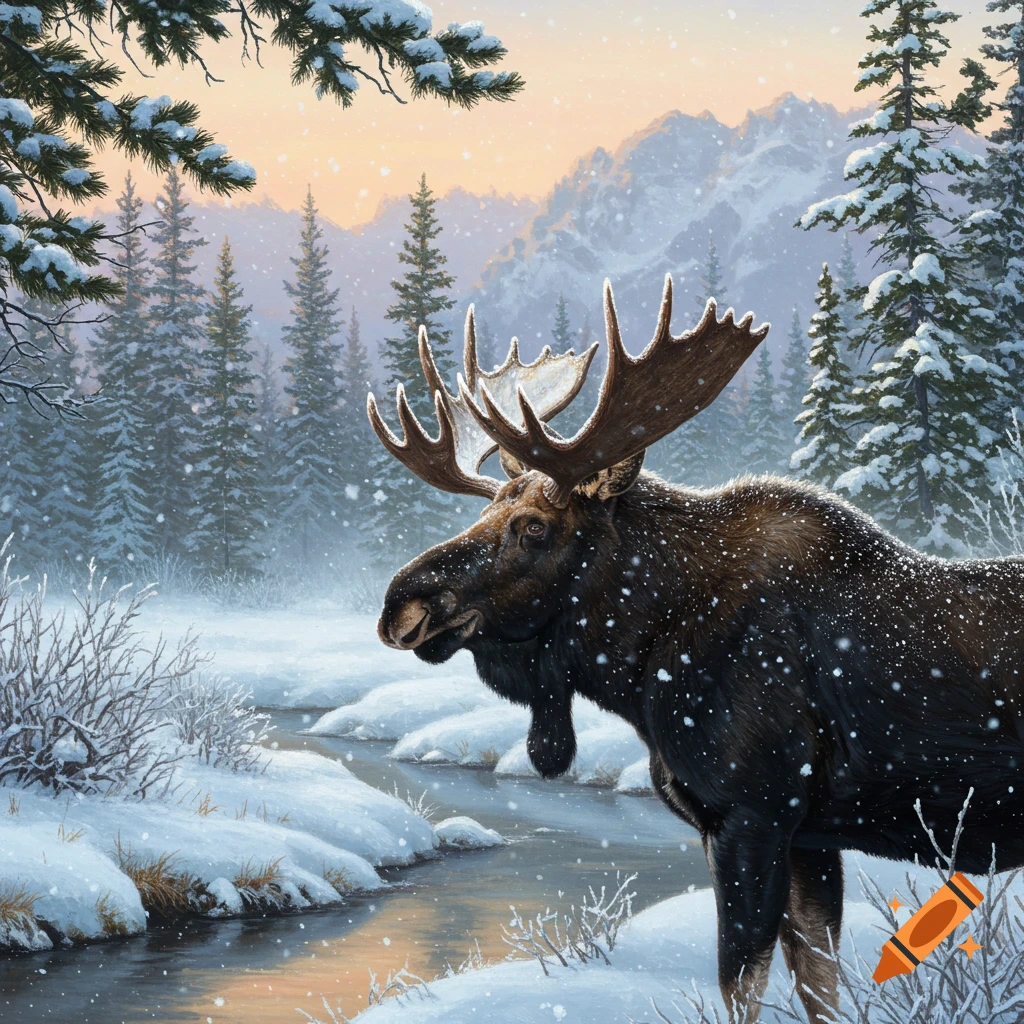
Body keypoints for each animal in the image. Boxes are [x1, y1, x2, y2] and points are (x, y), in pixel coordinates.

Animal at [367, 275, 1024, 1023]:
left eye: (534, 526)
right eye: (484, 513)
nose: (400, 605)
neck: (642, 666)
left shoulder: (751, 816)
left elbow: (741, 983)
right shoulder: (810, 834)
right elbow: (819, 983)